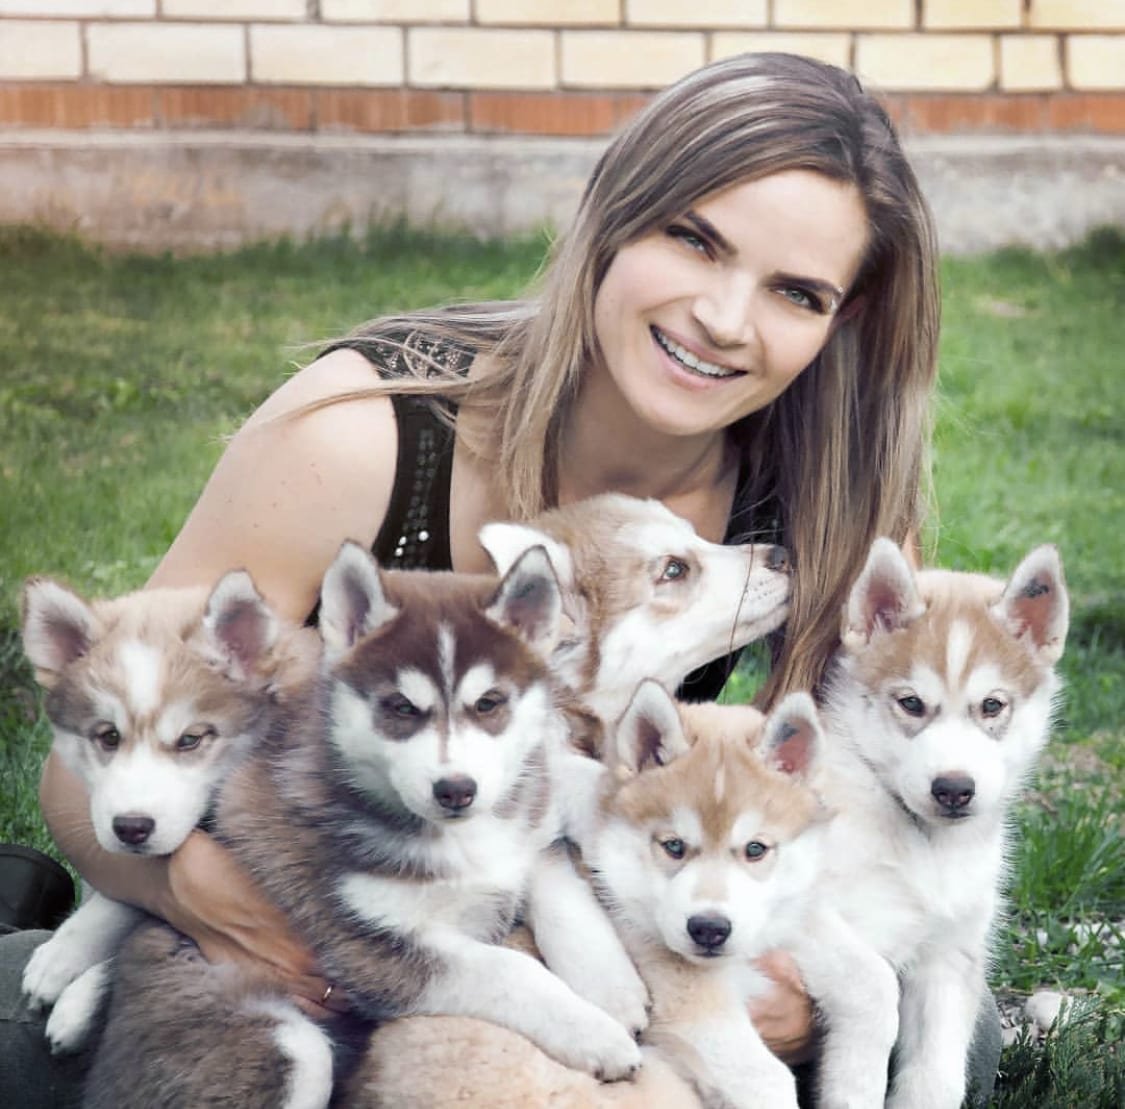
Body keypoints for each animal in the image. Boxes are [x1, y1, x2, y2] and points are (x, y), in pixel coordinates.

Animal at [796, 537, 1066, 1106]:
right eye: (912, 703)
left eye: (992, 706)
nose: (954, 788)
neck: (924, 848)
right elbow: (874, 986)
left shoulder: (949, 957)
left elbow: (938, 1074)